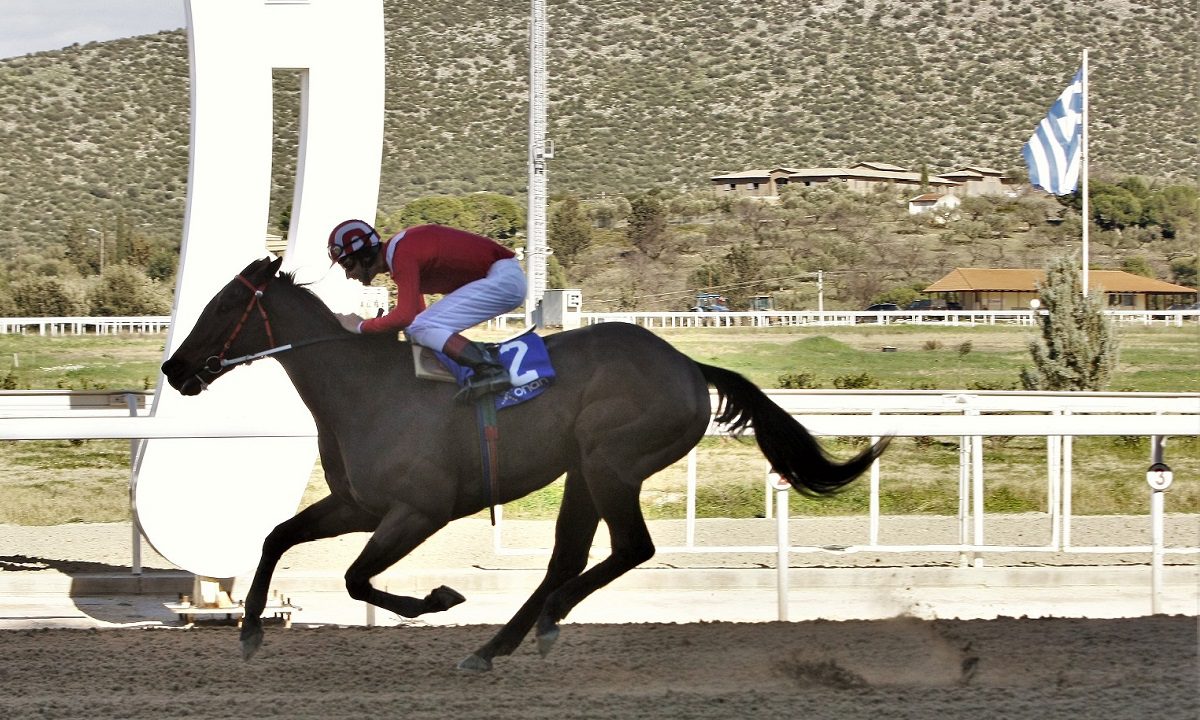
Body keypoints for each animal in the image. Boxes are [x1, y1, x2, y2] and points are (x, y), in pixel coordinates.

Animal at [162, 256, 892, 667]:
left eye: (224, 305)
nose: (173, 369)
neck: (364, 389)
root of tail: (688, 365)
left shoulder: (418, 510)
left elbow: (355, 579)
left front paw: (439, 597)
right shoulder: (358, 504)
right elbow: (276, 537)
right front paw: (250, 631)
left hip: (610, 461)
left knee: (630, 549)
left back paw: (542, 621)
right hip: (583, 471)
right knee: (568, 557)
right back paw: (496, 646)